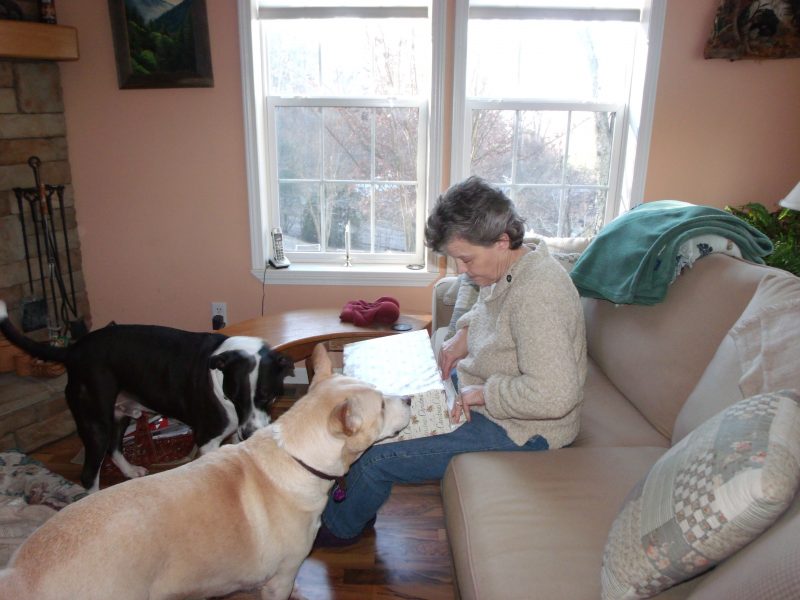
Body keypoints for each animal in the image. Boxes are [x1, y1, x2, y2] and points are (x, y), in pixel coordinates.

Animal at [0, 300, 296, 492]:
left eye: (267, 395)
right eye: (234, 394)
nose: (249, 433)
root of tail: (72, 351)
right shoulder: (208, 439)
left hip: (119, 413)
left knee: (114, 446)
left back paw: (131, 471)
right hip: (95, 420)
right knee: (89, 472)